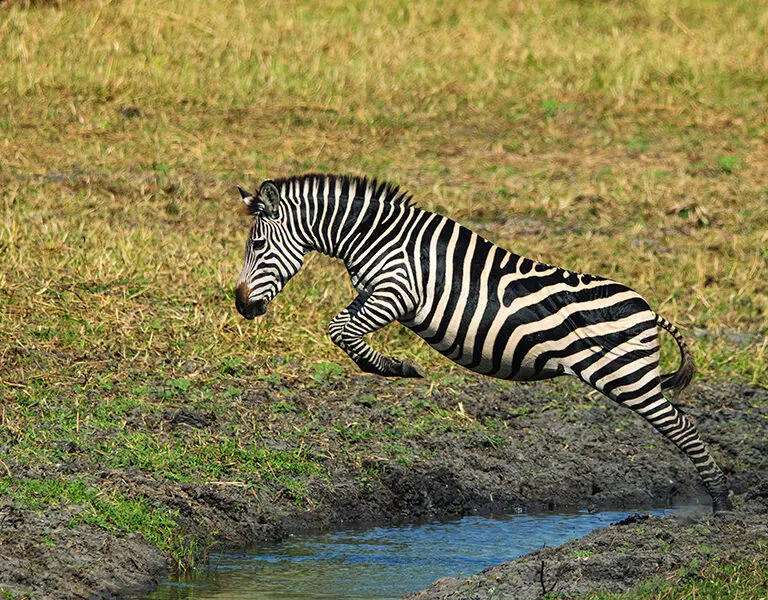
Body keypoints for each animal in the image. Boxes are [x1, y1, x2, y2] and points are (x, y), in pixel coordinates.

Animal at [234, 173, 733, 513]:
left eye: (257, 245)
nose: (240, 306)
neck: (375, 237)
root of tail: (649, 309)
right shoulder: (371, 293)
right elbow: (341, 327)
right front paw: (391, 366)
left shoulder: (396, 292)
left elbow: (341, 331)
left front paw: (396, 368)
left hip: (628, 377)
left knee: (683, 427)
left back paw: (723, 503)